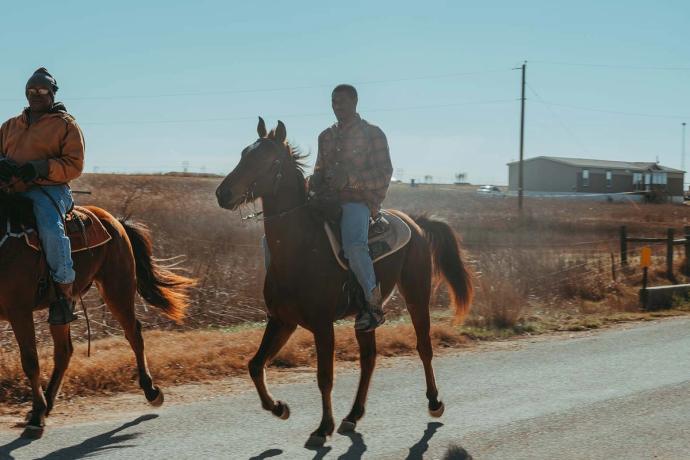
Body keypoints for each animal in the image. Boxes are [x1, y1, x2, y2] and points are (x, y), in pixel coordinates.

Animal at [0, 191, 194, 438]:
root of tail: (116, 222)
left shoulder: (19, 311)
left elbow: (30, 361)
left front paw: (36, 417)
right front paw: (38, 411)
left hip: (117, 289)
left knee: (134, 334)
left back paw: (151, 391)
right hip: (63, 306)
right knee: (64, 351)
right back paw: (49, 405)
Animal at [218, 117, 470, 448]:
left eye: (269, 160)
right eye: (244, 153)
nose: (223, 193)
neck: (300, 249)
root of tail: (414, 222)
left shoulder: (323, 325)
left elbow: (325, 377)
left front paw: (322, 427)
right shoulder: (282, 320)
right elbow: (255, 364)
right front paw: (279, 408)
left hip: (417, 295)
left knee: (423, 346)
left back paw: (434, 402)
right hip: (365, 317)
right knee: (369, 358)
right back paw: (353, 415)